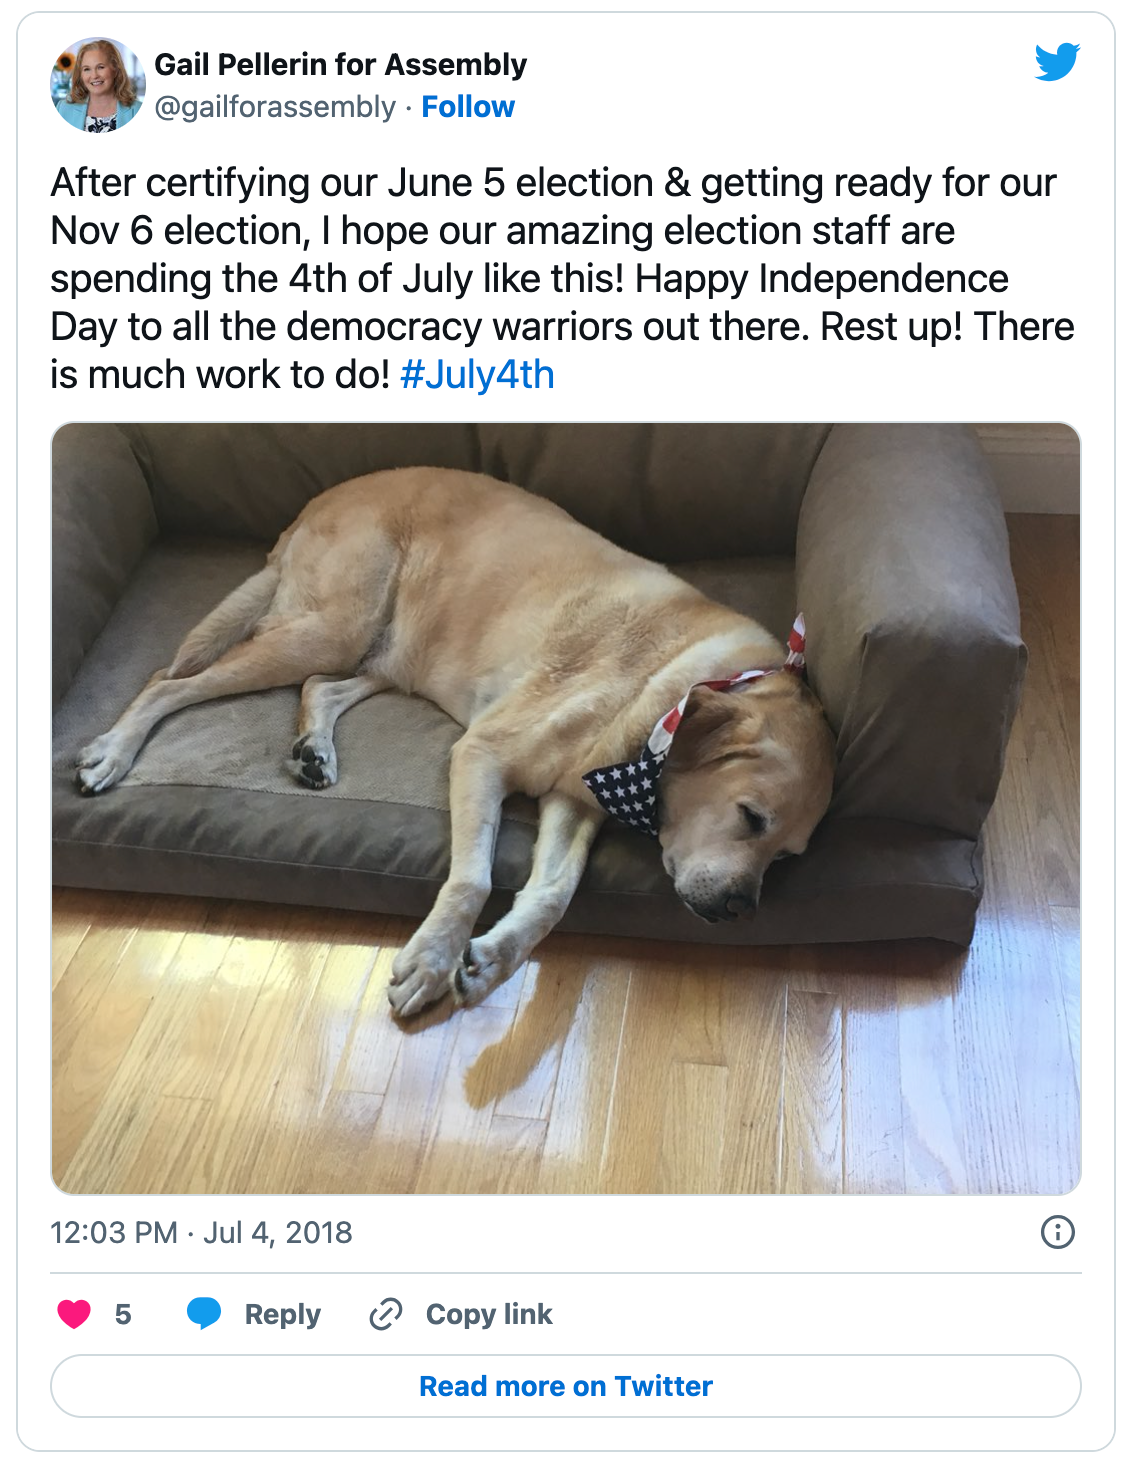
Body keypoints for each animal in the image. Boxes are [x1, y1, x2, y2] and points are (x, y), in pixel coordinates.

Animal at [70, 470, 830, 1017]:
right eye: (750, 817)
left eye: (786, 856)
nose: (739, 911)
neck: (673, 692)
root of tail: (316, 502)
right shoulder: (481, 756)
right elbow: (473, 878)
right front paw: (434, 960)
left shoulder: (572, 801)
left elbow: (551, 896)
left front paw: (492, 960)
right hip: (332, 627)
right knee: (169, 681)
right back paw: (112, 752)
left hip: (387, 653)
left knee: (319, 687)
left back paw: (315, 749)